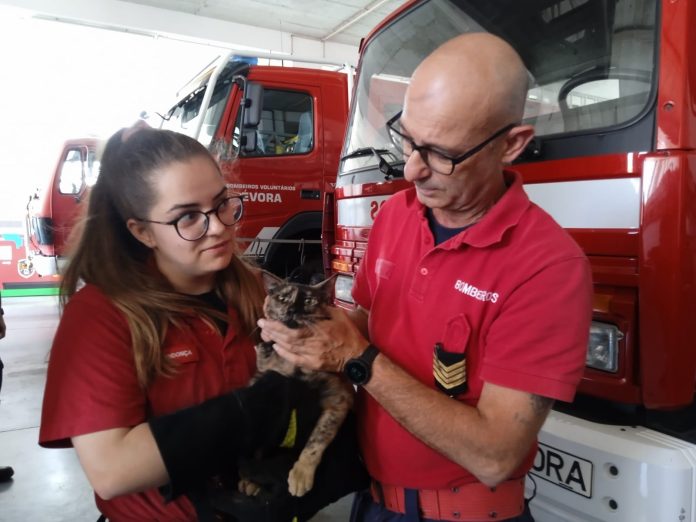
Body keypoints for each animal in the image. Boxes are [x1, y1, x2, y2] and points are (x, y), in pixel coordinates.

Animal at [239, 272, 356, 496]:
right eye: (283, 298)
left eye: (309, 300)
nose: (292, 310)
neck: (297, 367)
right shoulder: (267, 382)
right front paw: (248, 480)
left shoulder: (339, 398)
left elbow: (317, 440)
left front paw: (301, 474)